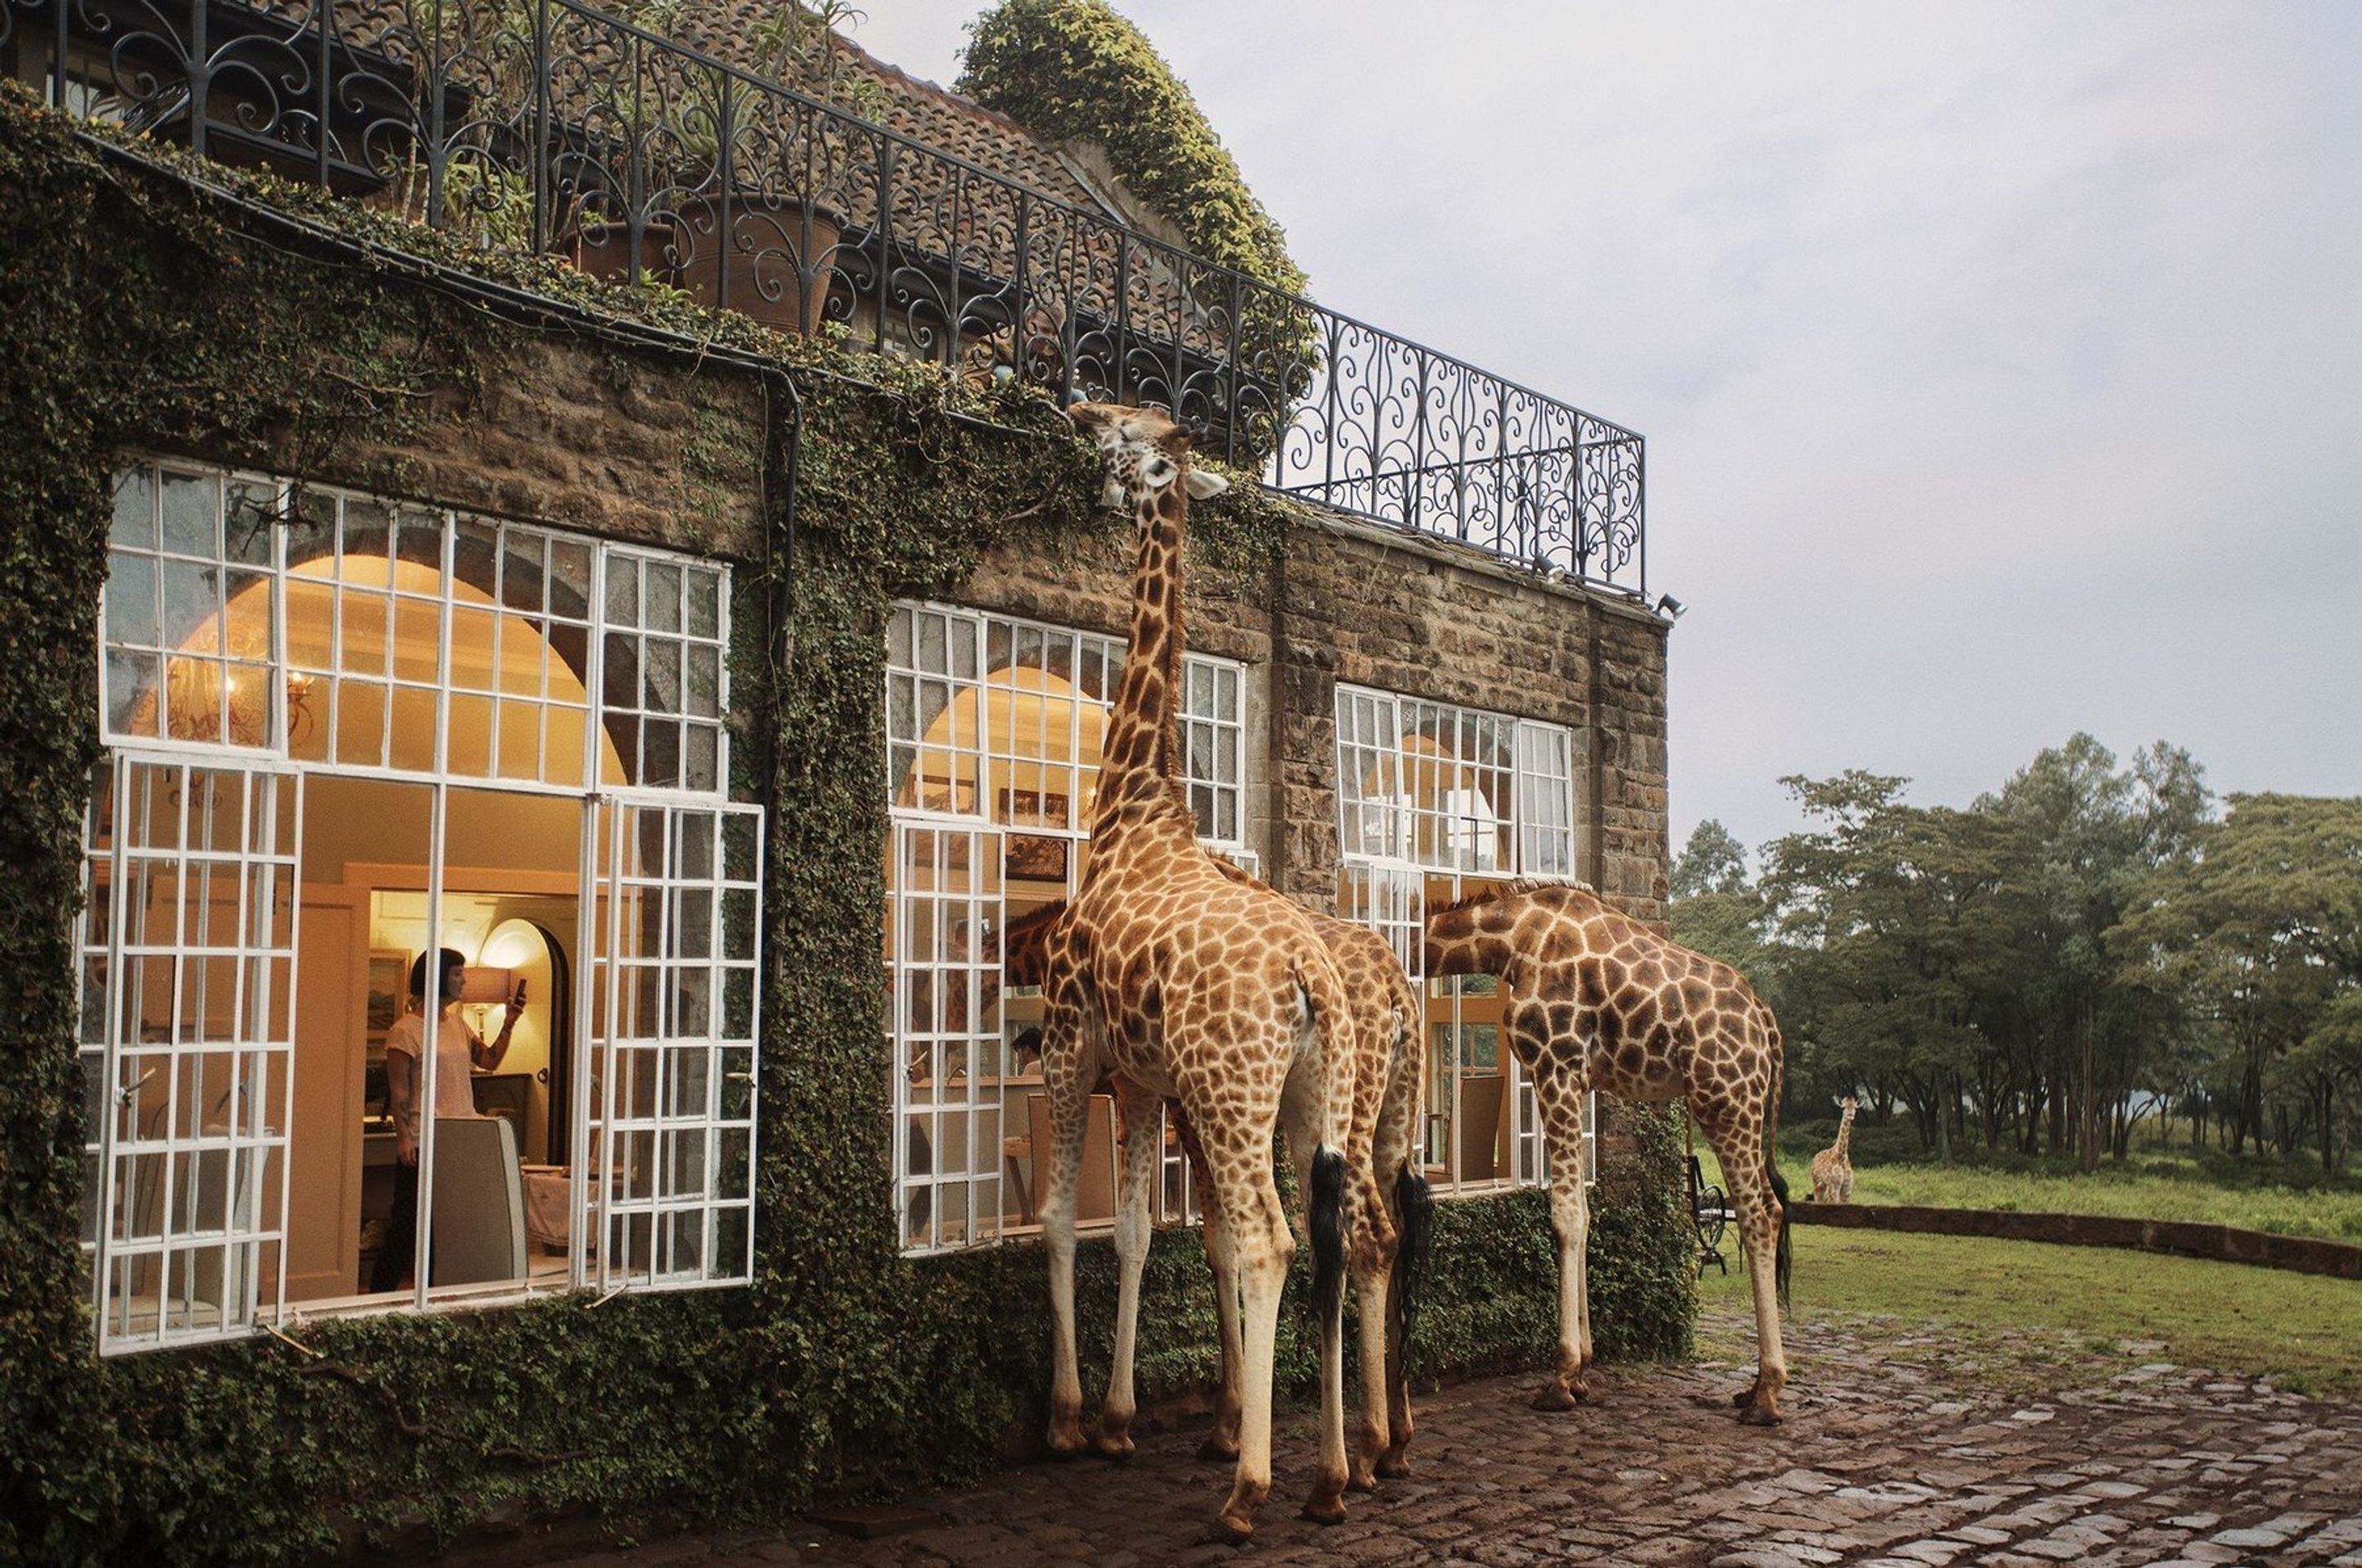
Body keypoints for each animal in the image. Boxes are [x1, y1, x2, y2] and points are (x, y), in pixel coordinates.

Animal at [1006, 887, 1432, 1490]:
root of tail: (1397, 990)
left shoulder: (1177, 1104)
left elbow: (1216, 1248)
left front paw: (1218, 1425)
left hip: (1346, 1113)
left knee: (1371, 1238)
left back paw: (1366, 1448)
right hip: (1393, 1118)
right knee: (1393, 1235)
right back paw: (1395, 1440)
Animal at [1032, 400, 1383, 1539]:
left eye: (1123, 432)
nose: (1074, 411)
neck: (1134, 808)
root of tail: (1315, 975)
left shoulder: (1071, 1044)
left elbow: (1065, 1219)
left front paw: (1069, 1419)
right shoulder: (1143, 1076)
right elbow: (1141, 1230)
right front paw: (1119, 1420)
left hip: (1232, 1092)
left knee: (1272, 1242)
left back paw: (1251, 1490)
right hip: (1315, 1099)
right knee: (1334, 1237)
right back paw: (1336, 1475)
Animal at [1424, 878, 1795, 1424]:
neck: (1513, 940)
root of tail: (1768, 1024)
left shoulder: (1554, 1065)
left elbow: (1565, 1214)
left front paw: (1561, 1377)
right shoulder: (1576, 1079)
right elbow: (1582, 1209)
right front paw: (1582, 1371)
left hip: (1725, 1099)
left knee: (1760, 1213)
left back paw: (1766, 1395)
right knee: (1767, 1209)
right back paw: (1751, 1391)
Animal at [1811, 1097, 1858, 1203]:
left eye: (1855, 1107)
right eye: (1843, 1107)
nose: (1850, 1115)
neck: (1841, 1156)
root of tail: (1815, 1157)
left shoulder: (1847, 1189)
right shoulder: (1834, 1187)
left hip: (1824, 1185)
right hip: (1817, 1182)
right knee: (1818, 1198)